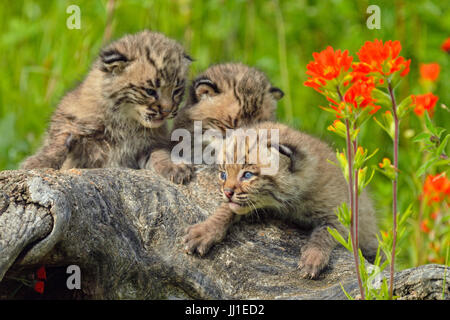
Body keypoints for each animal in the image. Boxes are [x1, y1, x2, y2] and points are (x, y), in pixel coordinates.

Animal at [21, 30, 193, 185]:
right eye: (150, 91)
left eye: (176, 91)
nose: (167, 111)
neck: (125, 120)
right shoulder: (69, 119)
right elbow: (58, 142)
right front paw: (39, 163)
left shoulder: (150, 144)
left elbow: (160, 153)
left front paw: (173, 166)